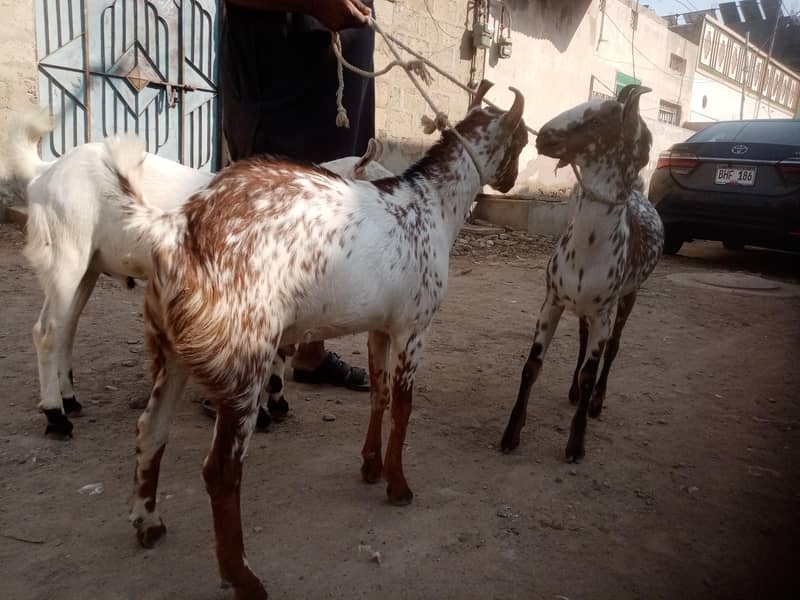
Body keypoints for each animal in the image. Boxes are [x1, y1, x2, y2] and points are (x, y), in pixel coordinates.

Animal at [6, 110, 390, 438]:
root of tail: (46, 170)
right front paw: (260, 411)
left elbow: (282, 348)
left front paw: (277, 401)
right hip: (66, 253)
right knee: (47, 331)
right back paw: (56, 417)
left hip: (88, 264)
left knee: (66, 328)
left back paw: (69, 399)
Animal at [110, 80, 527, 599]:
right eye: (523, 140)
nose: (512, 182)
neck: (431, 202)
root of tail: (179, 231)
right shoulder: (414, 327)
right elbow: (404, 405)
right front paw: (398, 485)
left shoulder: (379, 326)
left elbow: (379, 393)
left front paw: (370, 466)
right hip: (245, 358)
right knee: (222, 471)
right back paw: (242, 577)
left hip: (171, 350)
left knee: (151, 429)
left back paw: (148, 523)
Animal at [500, 84, 663, 462]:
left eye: (599, 120)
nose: (544, 136)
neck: (589, 249)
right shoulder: (553, 300)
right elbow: (532, 366)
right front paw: (511, 433)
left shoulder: (606, 310)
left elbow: (593, 368)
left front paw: (576, 444)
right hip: (583, 308)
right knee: (581, 341)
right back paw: (575, 393)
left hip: (627, 299)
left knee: (612, 348)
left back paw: (595, 403)